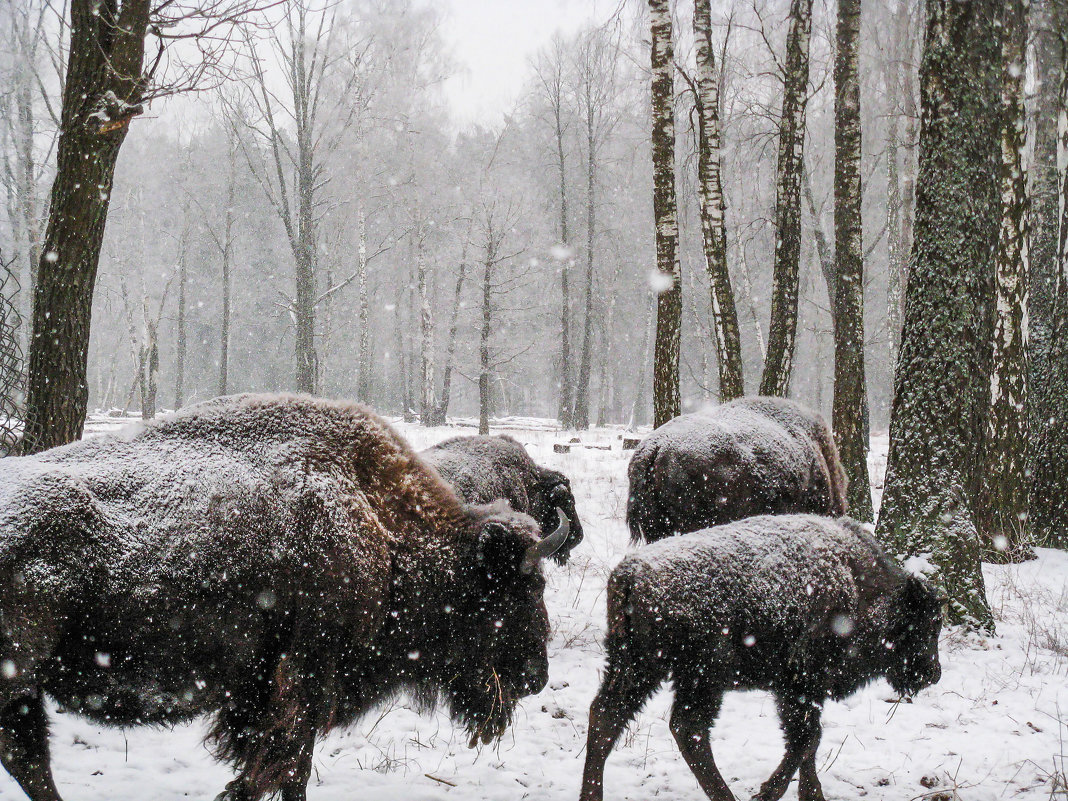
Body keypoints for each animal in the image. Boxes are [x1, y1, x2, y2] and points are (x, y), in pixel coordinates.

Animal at [580, 514, 939, 801]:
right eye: (925, 625)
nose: (932, 673)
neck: (856, 583)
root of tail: (629, 574)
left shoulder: (804, 691)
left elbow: (810, 742)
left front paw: (811, 794)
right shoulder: (800, 686)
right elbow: (806, 739)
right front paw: (768, 793)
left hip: (638, 667)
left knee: (609, 716)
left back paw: (591, 794)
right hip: (697, 676)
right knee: (687, 728)